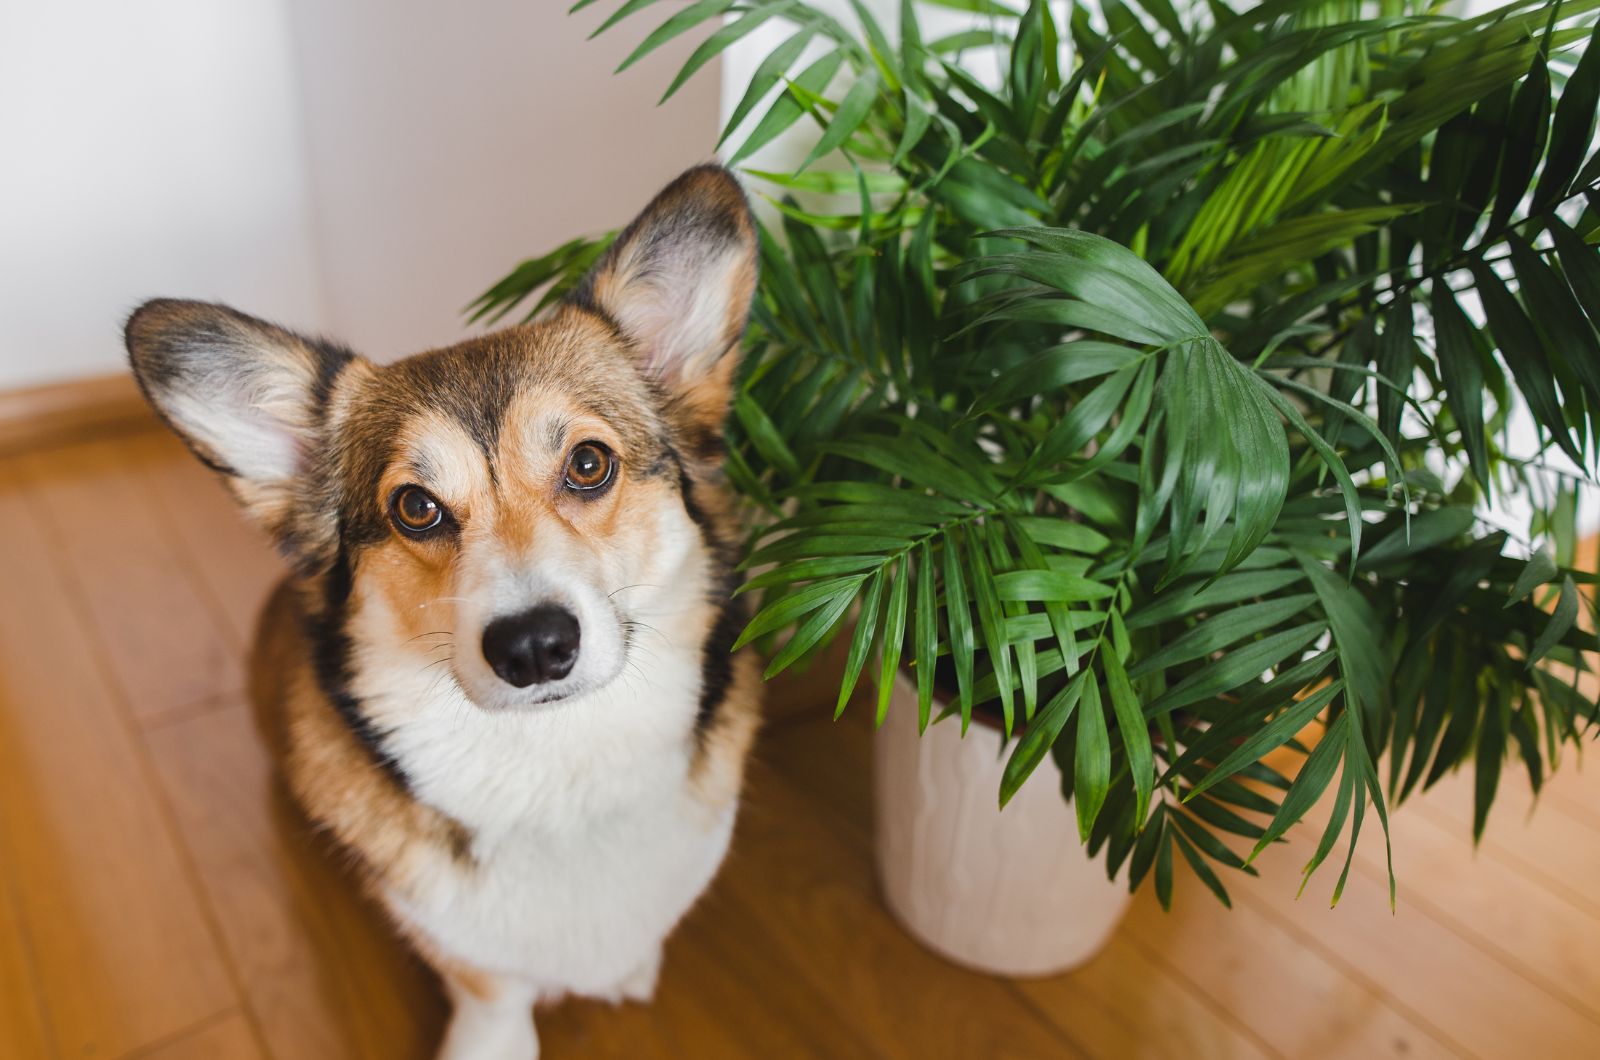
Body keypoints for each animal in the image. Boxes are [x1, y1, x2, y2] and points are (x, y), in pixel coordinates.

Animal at [124, 166, 761, 1060]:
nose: (533, 647)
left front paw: (632, 967)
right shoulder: (464, 951)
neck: (557, 771)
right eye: (416, 508)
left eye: (589, 464)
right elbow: (491, 991)